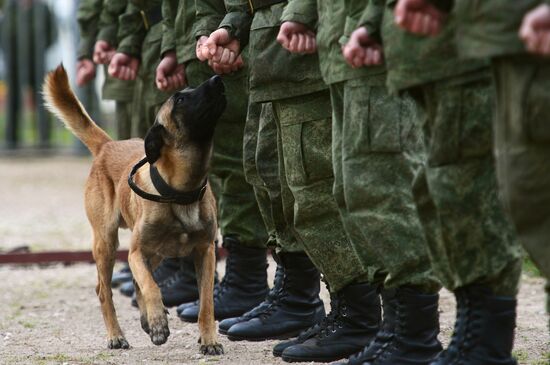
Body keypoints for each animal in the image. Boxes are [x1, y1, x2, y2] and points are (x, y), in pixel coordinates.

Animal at [42, 64, 229, 354]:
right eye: (180, 99)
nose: (218, 78)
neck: (181, 191)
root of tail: (108, 145)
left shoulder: (206, 252)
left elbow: (206, 302)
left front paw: (208, 339)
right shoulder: (136, 252)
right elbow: (152, 287)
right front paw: (158, 321)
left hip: (156, 253)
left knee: (135, 283)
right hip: (107, 243)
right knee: (104, 291)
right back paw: (117, 335)